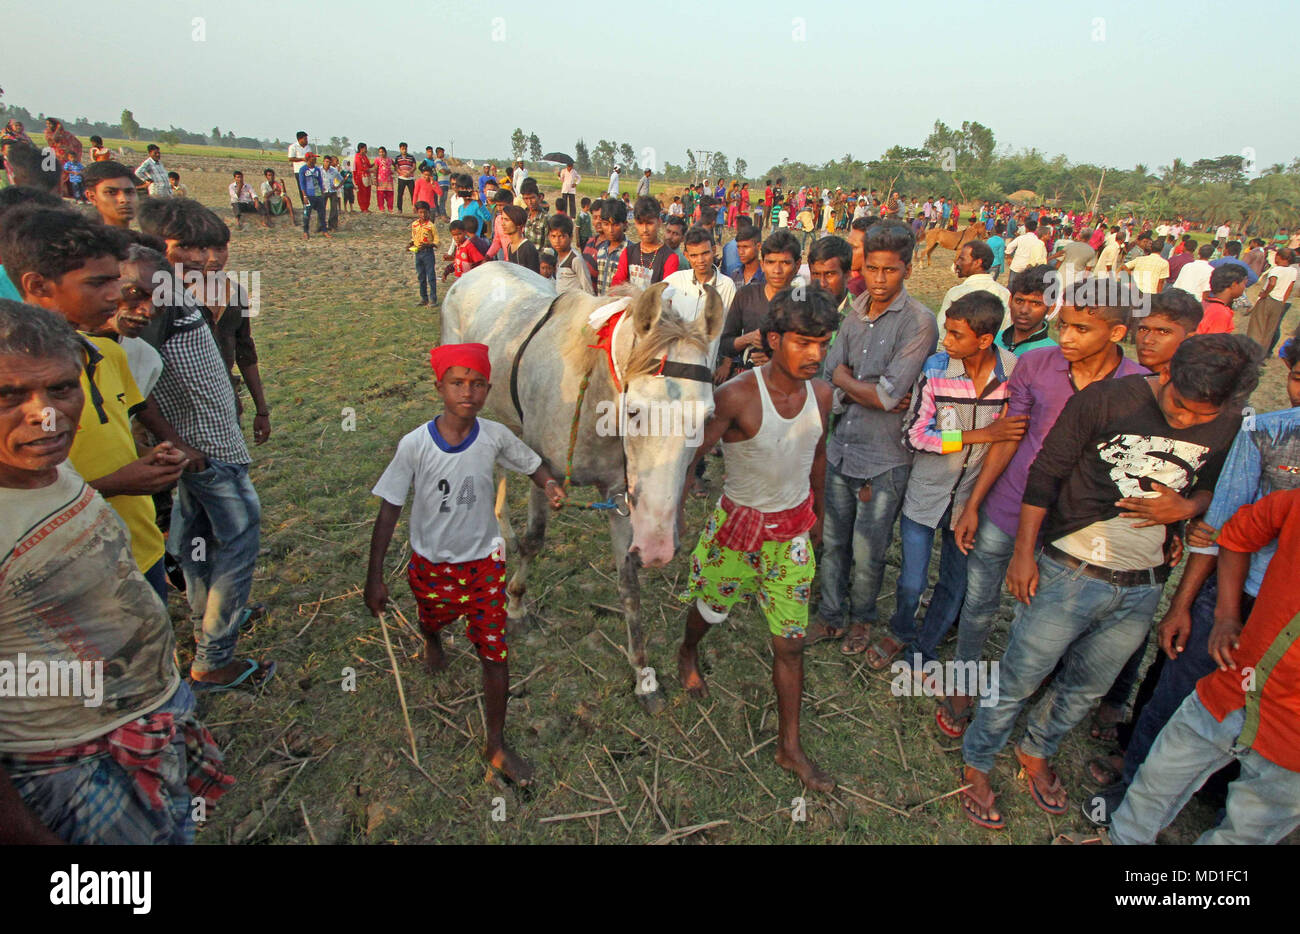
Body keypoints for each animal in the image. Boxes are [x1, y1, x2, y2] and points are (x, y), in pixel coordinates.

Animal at [441, 265, 728, 718]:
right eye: (635, 411)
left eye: (708, 416)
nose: (660, 547)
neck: (592, 389)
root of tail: (477, 270)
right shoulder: (544, 472)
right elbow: (535, 541)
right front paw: (516, 606)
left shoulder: (620, 497)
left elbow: (629, 586)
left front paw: (643, 675)